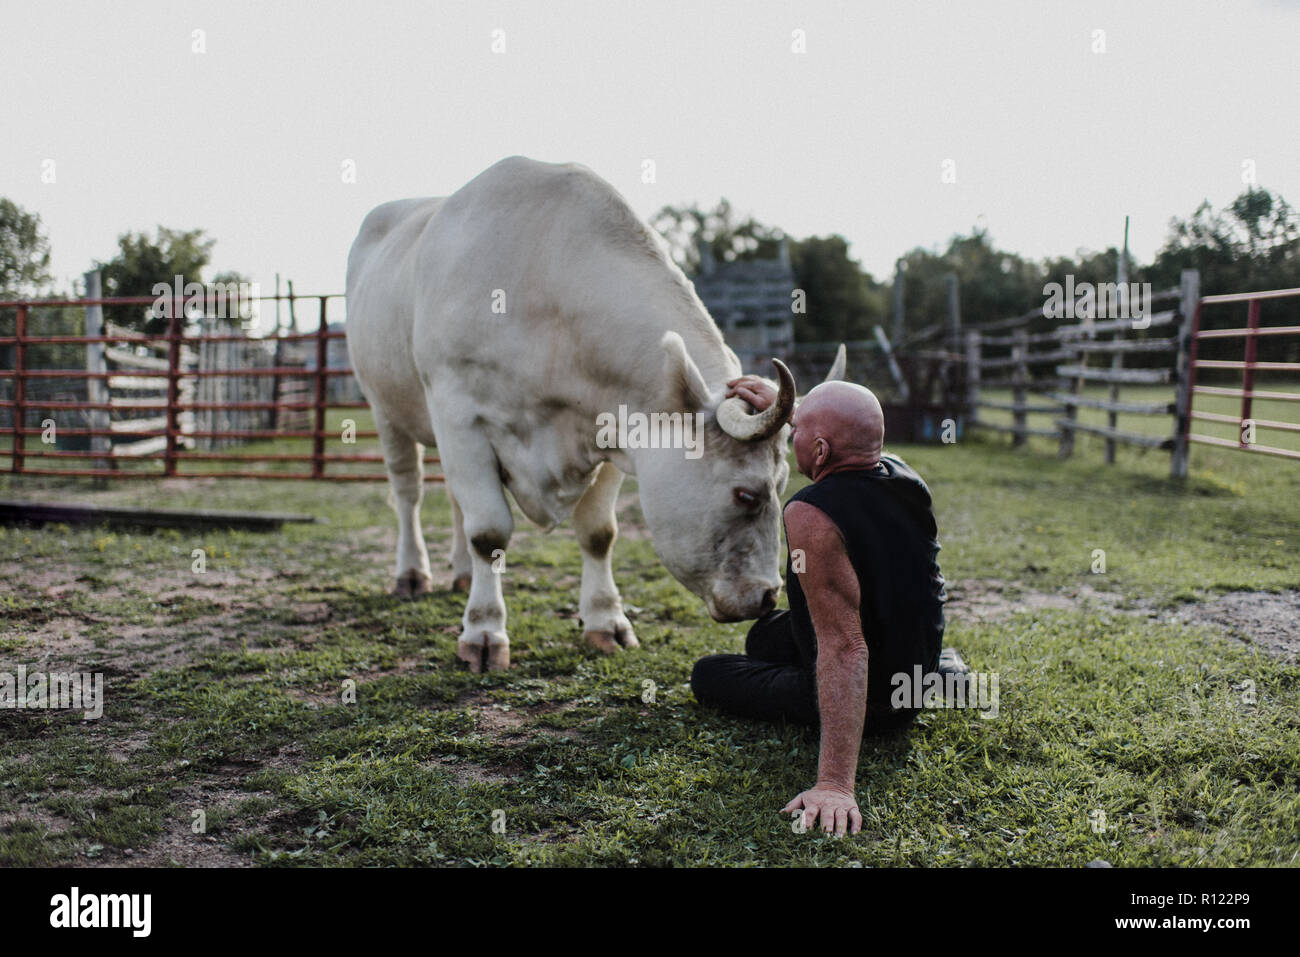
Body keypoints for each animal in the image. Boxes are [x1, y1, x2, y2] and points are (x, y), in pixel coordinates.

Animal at [345, 155, 811, 670]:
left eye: (784, 486)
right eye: (746, 494)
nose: (767, 597)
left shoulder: (612, 429)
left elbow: (598, 533)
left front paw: (607, 621)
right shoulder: (460, 418)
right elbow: (488, 531)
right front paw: (484, 632)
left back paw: (463, 574)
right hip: (385, 409)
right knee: (408, 493)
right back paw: (412, 573)